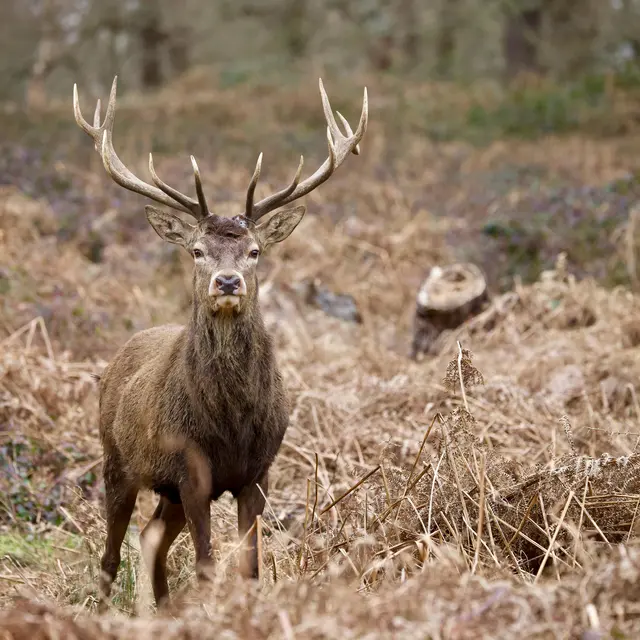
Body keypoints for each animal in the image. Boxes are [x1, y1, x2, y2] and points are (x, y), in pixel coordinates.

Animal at [72, 75, 368, 609]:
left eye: (254, 251)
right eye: (196, 250)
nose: (227, 281)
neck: (230, 423)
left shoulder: (258, 472)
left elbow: (251, 566)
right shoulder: (192, 471)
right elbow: (208, 565)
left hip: (164, 489)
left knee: (151, 536)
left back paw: (165, 610)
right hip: (116, 459)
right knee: (111, 552)